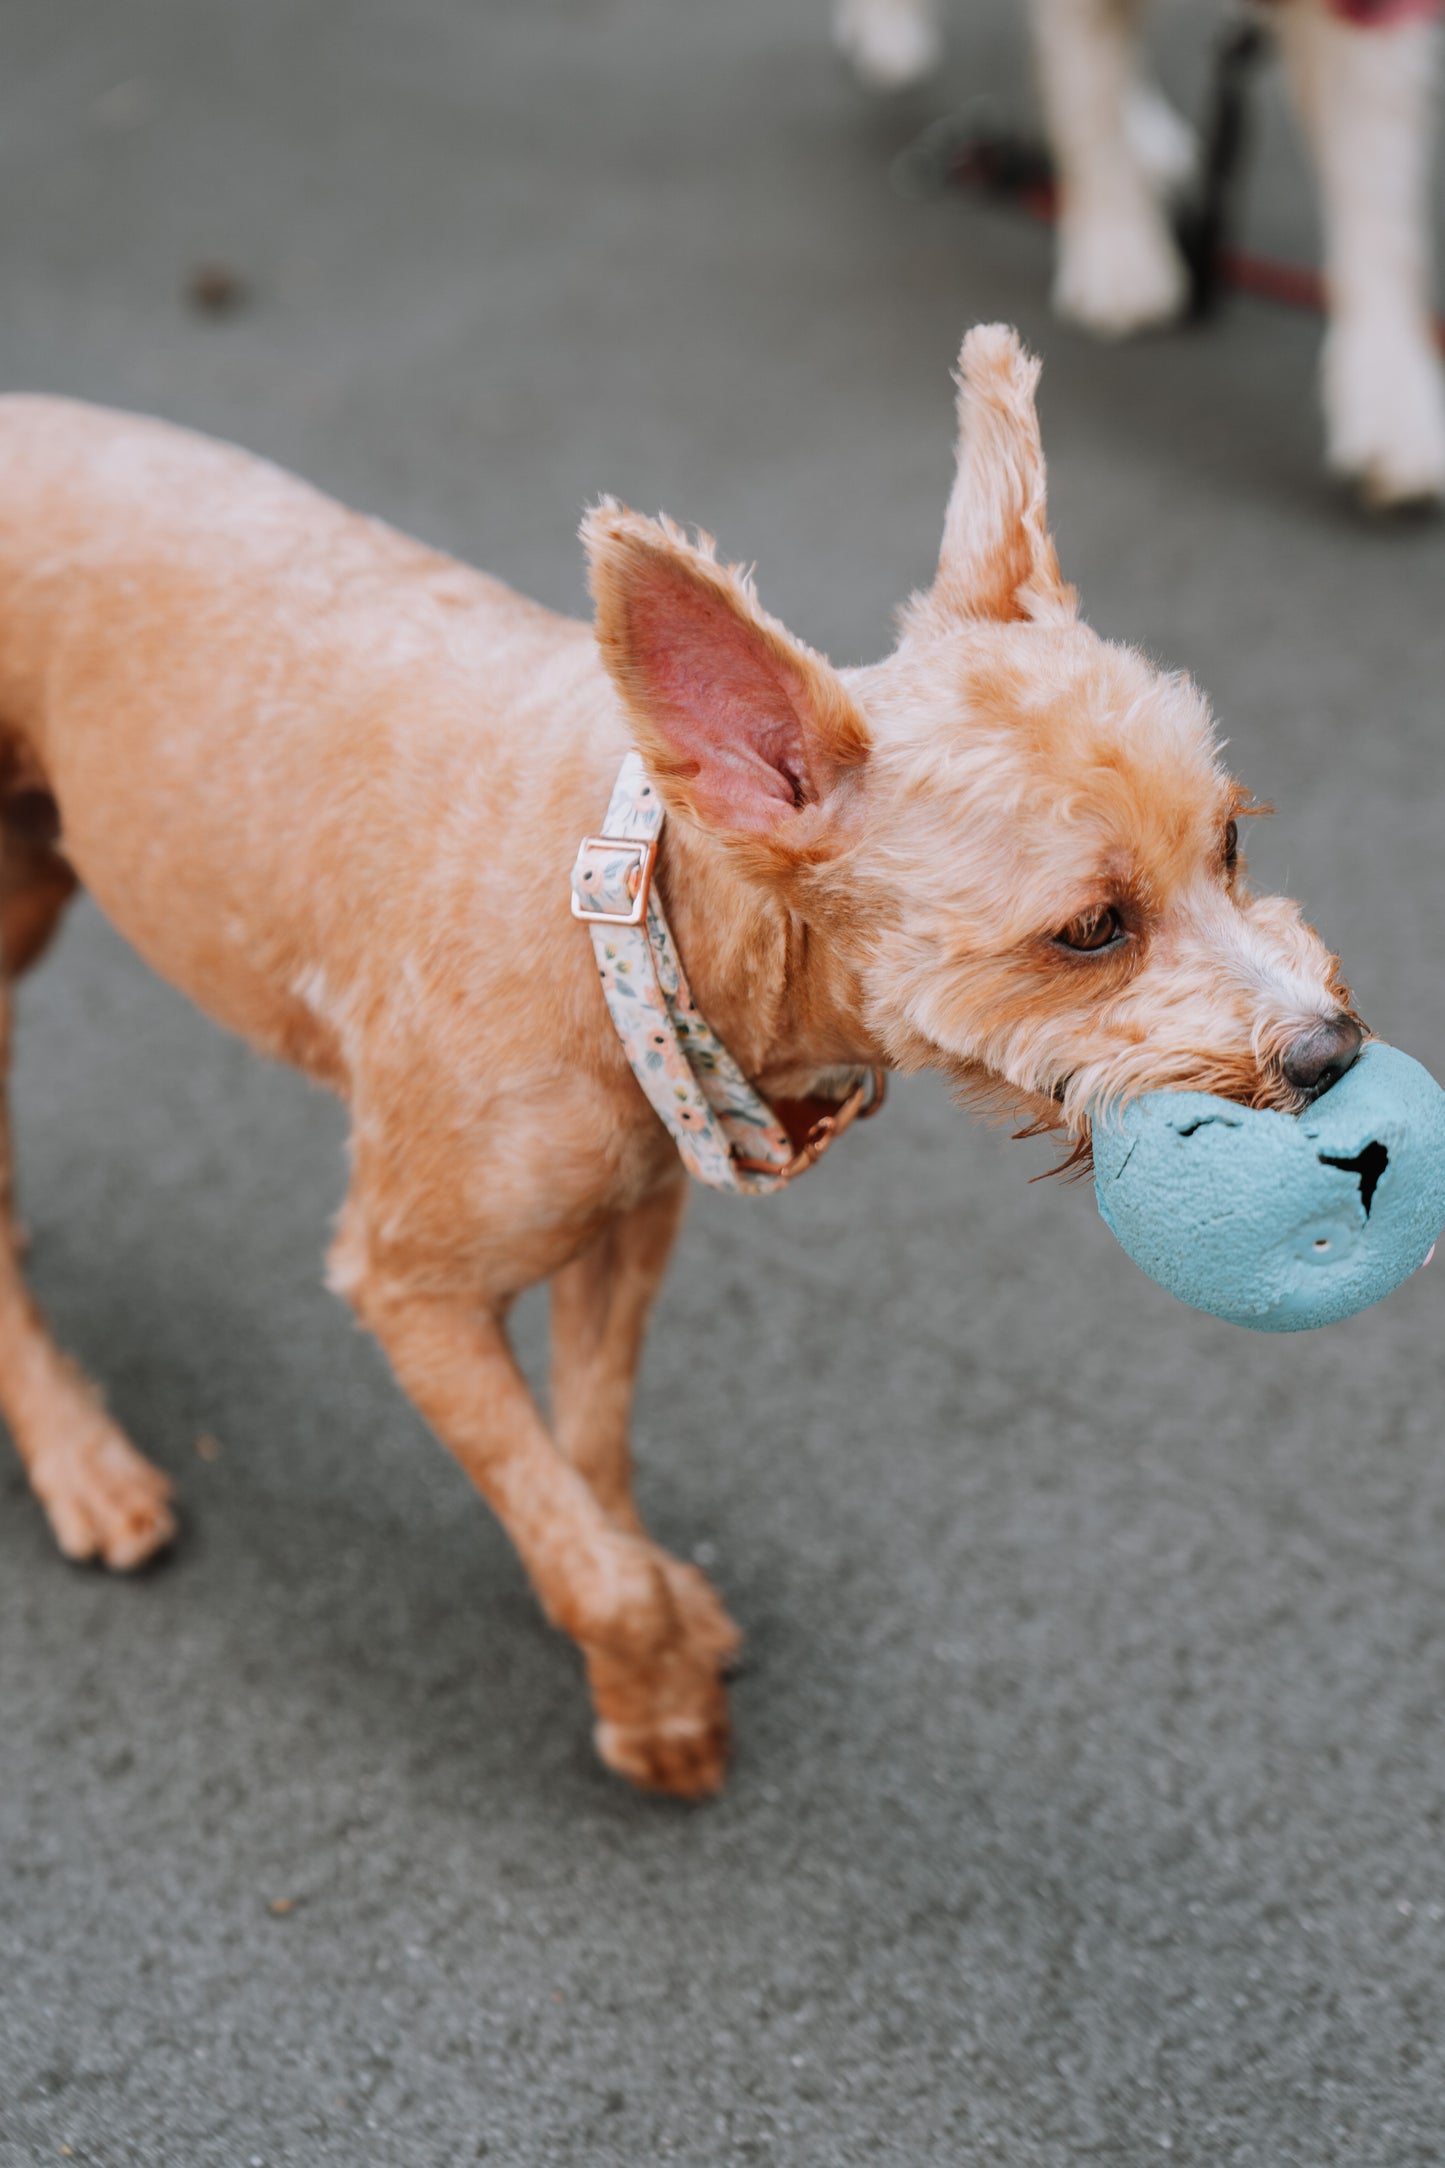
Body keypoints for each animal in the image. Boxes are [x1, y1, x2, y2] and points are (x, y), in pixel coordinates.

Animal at [0, 325, 1360, 1795]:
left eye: (1229, 843)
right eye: (1092, 929)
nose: (1332, 1049)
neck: (628, 911)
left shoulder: (629, 1226)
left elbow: (589, 1455)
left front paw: (647, 1602)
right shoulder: (408, 1286)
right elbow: (588, 1565)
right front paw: (653, 1710)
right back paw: (82, 1458)